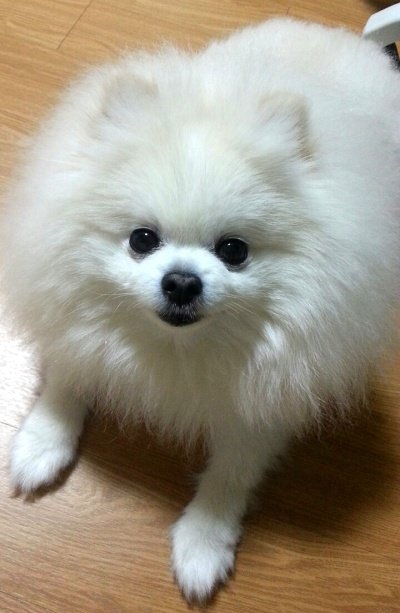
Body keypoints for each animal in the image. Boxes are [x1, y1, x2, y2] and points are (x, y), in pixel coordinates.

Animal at [1, 17, 399, 602]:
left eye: (234, 250)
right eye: (142, 240)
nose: (182, 281)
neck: (180, 348)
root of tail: (347, 39)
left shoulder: (270, 396)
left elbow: (231, 474)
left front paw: (202, 545)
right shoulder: (78, 318)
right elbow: (71, 371)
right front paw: (39, 443)